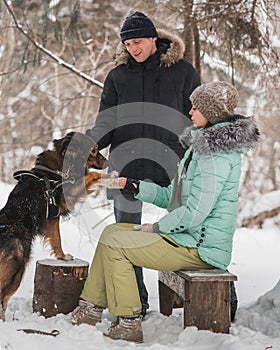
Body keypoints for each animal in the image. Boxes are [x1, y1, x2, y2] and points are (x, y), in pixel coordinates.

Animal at [0, 131, 108, 320]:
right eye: (94, 151)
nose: (107, 162)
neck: (64, 158)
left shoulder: (52, 217)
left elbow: (56, 239)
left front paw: (61, 256)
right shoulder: (67, 195)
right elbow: (90, 176)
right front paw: (112, 176)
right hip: (18, 266)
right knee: (3, 298)